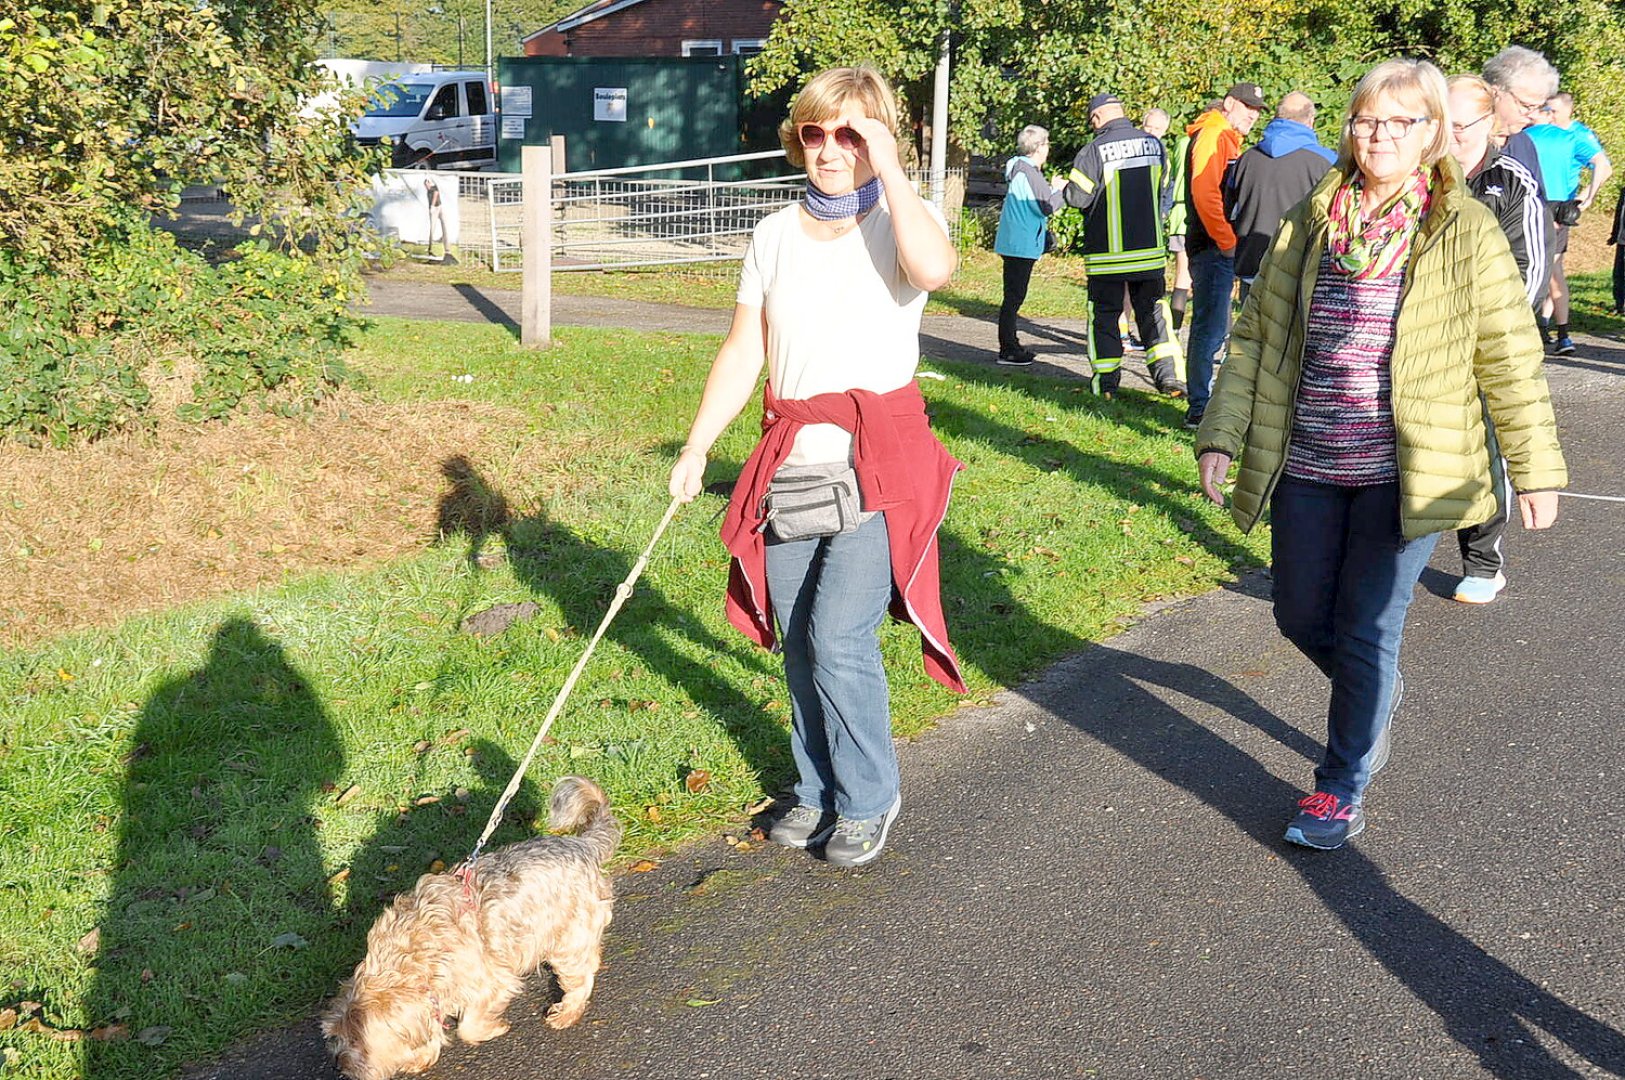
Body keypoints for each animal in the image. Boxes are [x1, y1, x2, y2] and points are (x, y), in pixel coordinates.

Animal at [320, 776, 617, 1078]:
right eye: (335, 1037)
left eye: (357, 1041)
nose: (339, 1065)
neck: (413, 961)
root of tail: (583, 844)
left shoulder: (492, 980)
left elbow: (468, 1026)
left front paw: (493, 1028)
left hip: (568, 935)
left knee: (581, 974)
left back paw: (568, 1010)